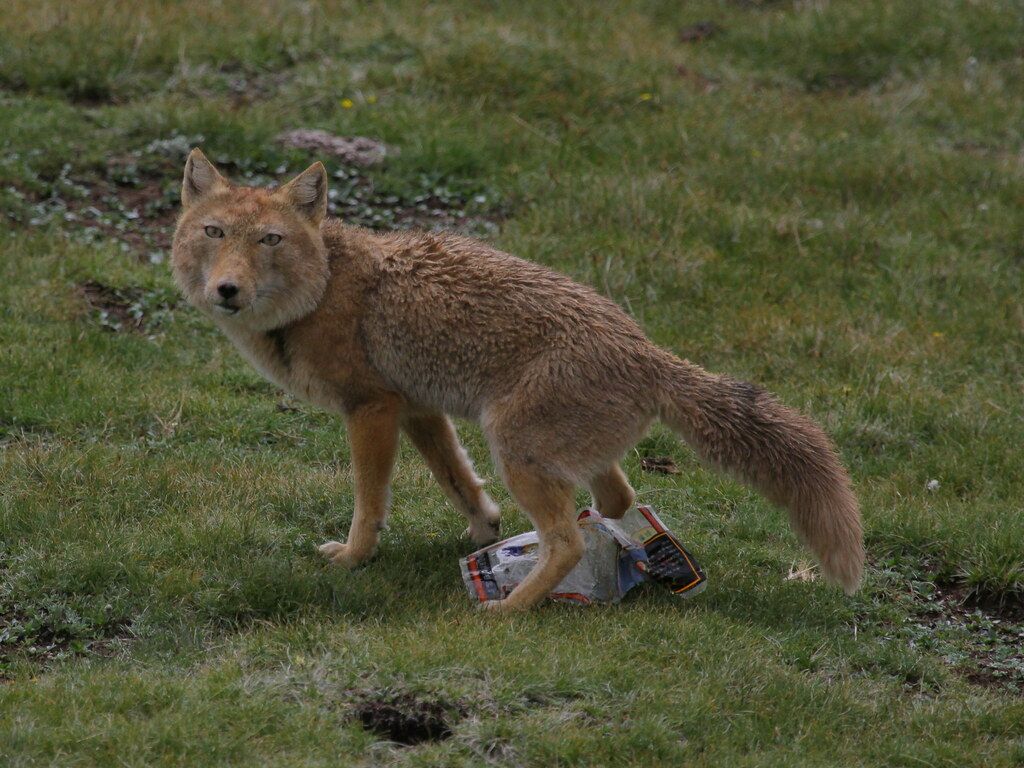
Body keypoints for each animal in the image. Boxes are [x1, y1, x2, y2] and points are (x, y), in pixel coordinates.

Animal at [170, 148, 864, 611]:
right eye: (214, 232)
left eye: (269, 240)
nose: (227, 290)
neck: (318, 293)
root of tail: (648, 353)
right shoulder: (419, 409)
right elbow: (460, 483)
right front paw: (484, 533)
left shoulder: (370, 409)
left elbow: (369, 504)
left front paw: (354, 558)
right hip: (551, 455)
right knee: (616, 502)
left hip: (512, 445)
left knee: (567, 542)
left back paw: (510, 609)